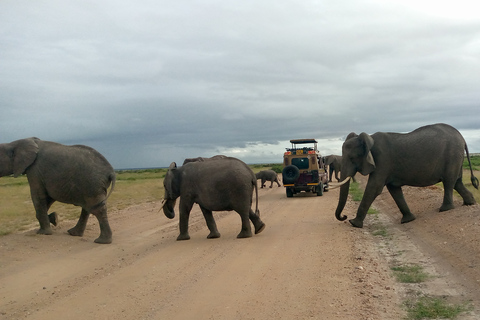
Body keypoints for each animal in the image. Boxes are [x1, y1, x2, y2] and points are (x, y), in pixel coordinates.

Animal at [334, 122, 480, 228]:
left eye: (352, 158)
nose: (344, 216)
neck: (369, 139)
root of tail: (463, 138)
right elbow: (394, 190)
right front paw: (408, 220)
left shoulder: (382, 160)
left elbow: (374, 187)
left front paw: (354, 224)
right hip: (456, 157)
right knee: (457, 182)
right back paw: (469, 203)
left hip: (452, 155)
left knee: (449, 181)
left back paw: (445, 209)